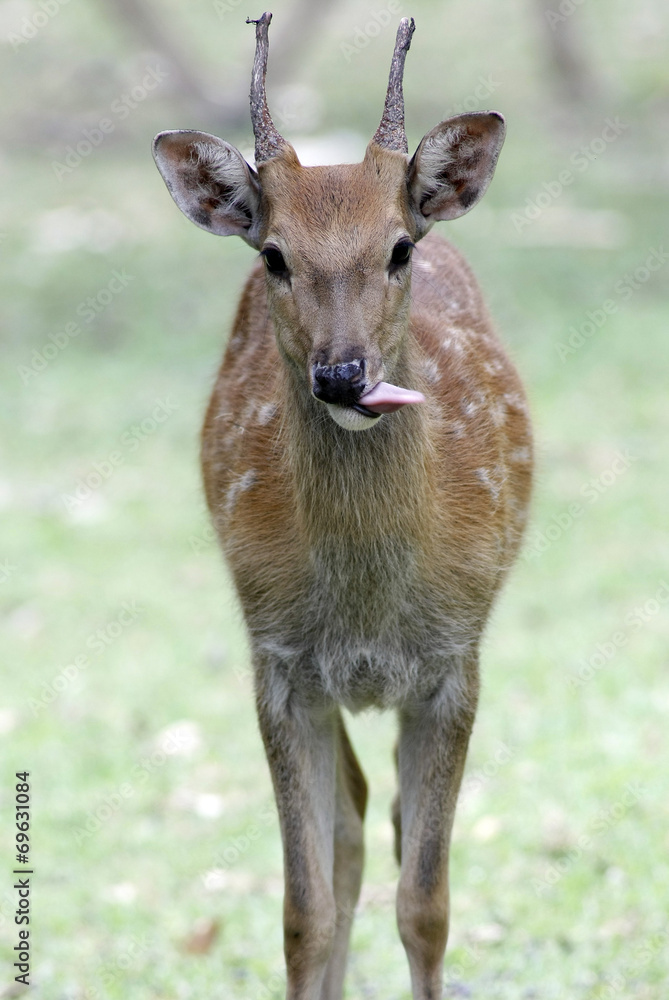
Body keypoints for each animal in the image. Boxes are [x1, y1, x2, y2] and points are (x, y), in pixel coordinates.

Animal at [153, 13, 532, 1000]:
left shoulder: (453, 661)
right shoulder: (279, 663)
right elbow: (304, 909)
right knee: (353, 825)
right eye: (273, 254)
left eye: (398, 248)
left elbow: (427, 904)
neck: (369, 604)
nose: (341, 374)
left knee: (384, 825)